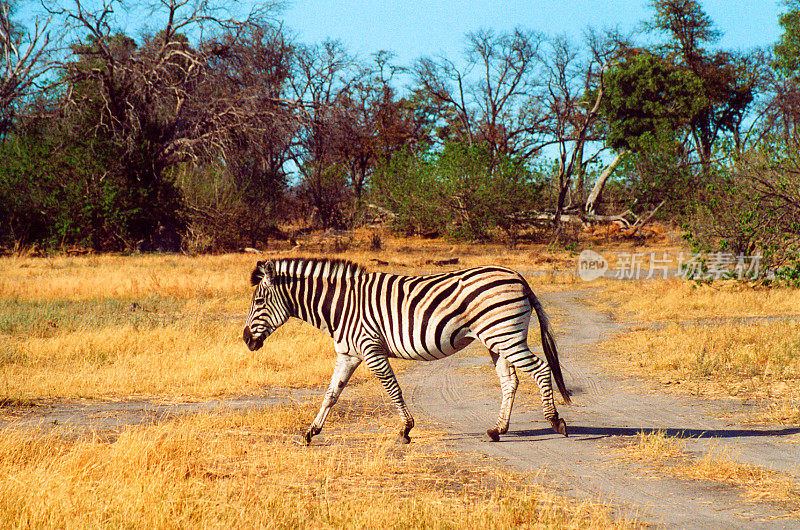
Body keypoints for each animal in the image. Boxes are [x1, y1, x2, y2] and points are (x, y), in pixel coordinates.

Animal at [241, 256, 572, 442]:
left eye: (258, 302)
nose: (245, 340)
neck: (341, 306)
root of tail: (518, 276)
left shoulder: (371, 349)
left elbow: (393, 389)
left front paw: (406, 429)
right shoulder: (348, 354)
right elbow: (331, 394)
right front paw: (311, 431)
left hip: (505, 334)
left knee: (541, 369)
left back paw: (555, 421)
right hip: (498, 339)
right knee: (510, 381)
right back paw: (497, 430)